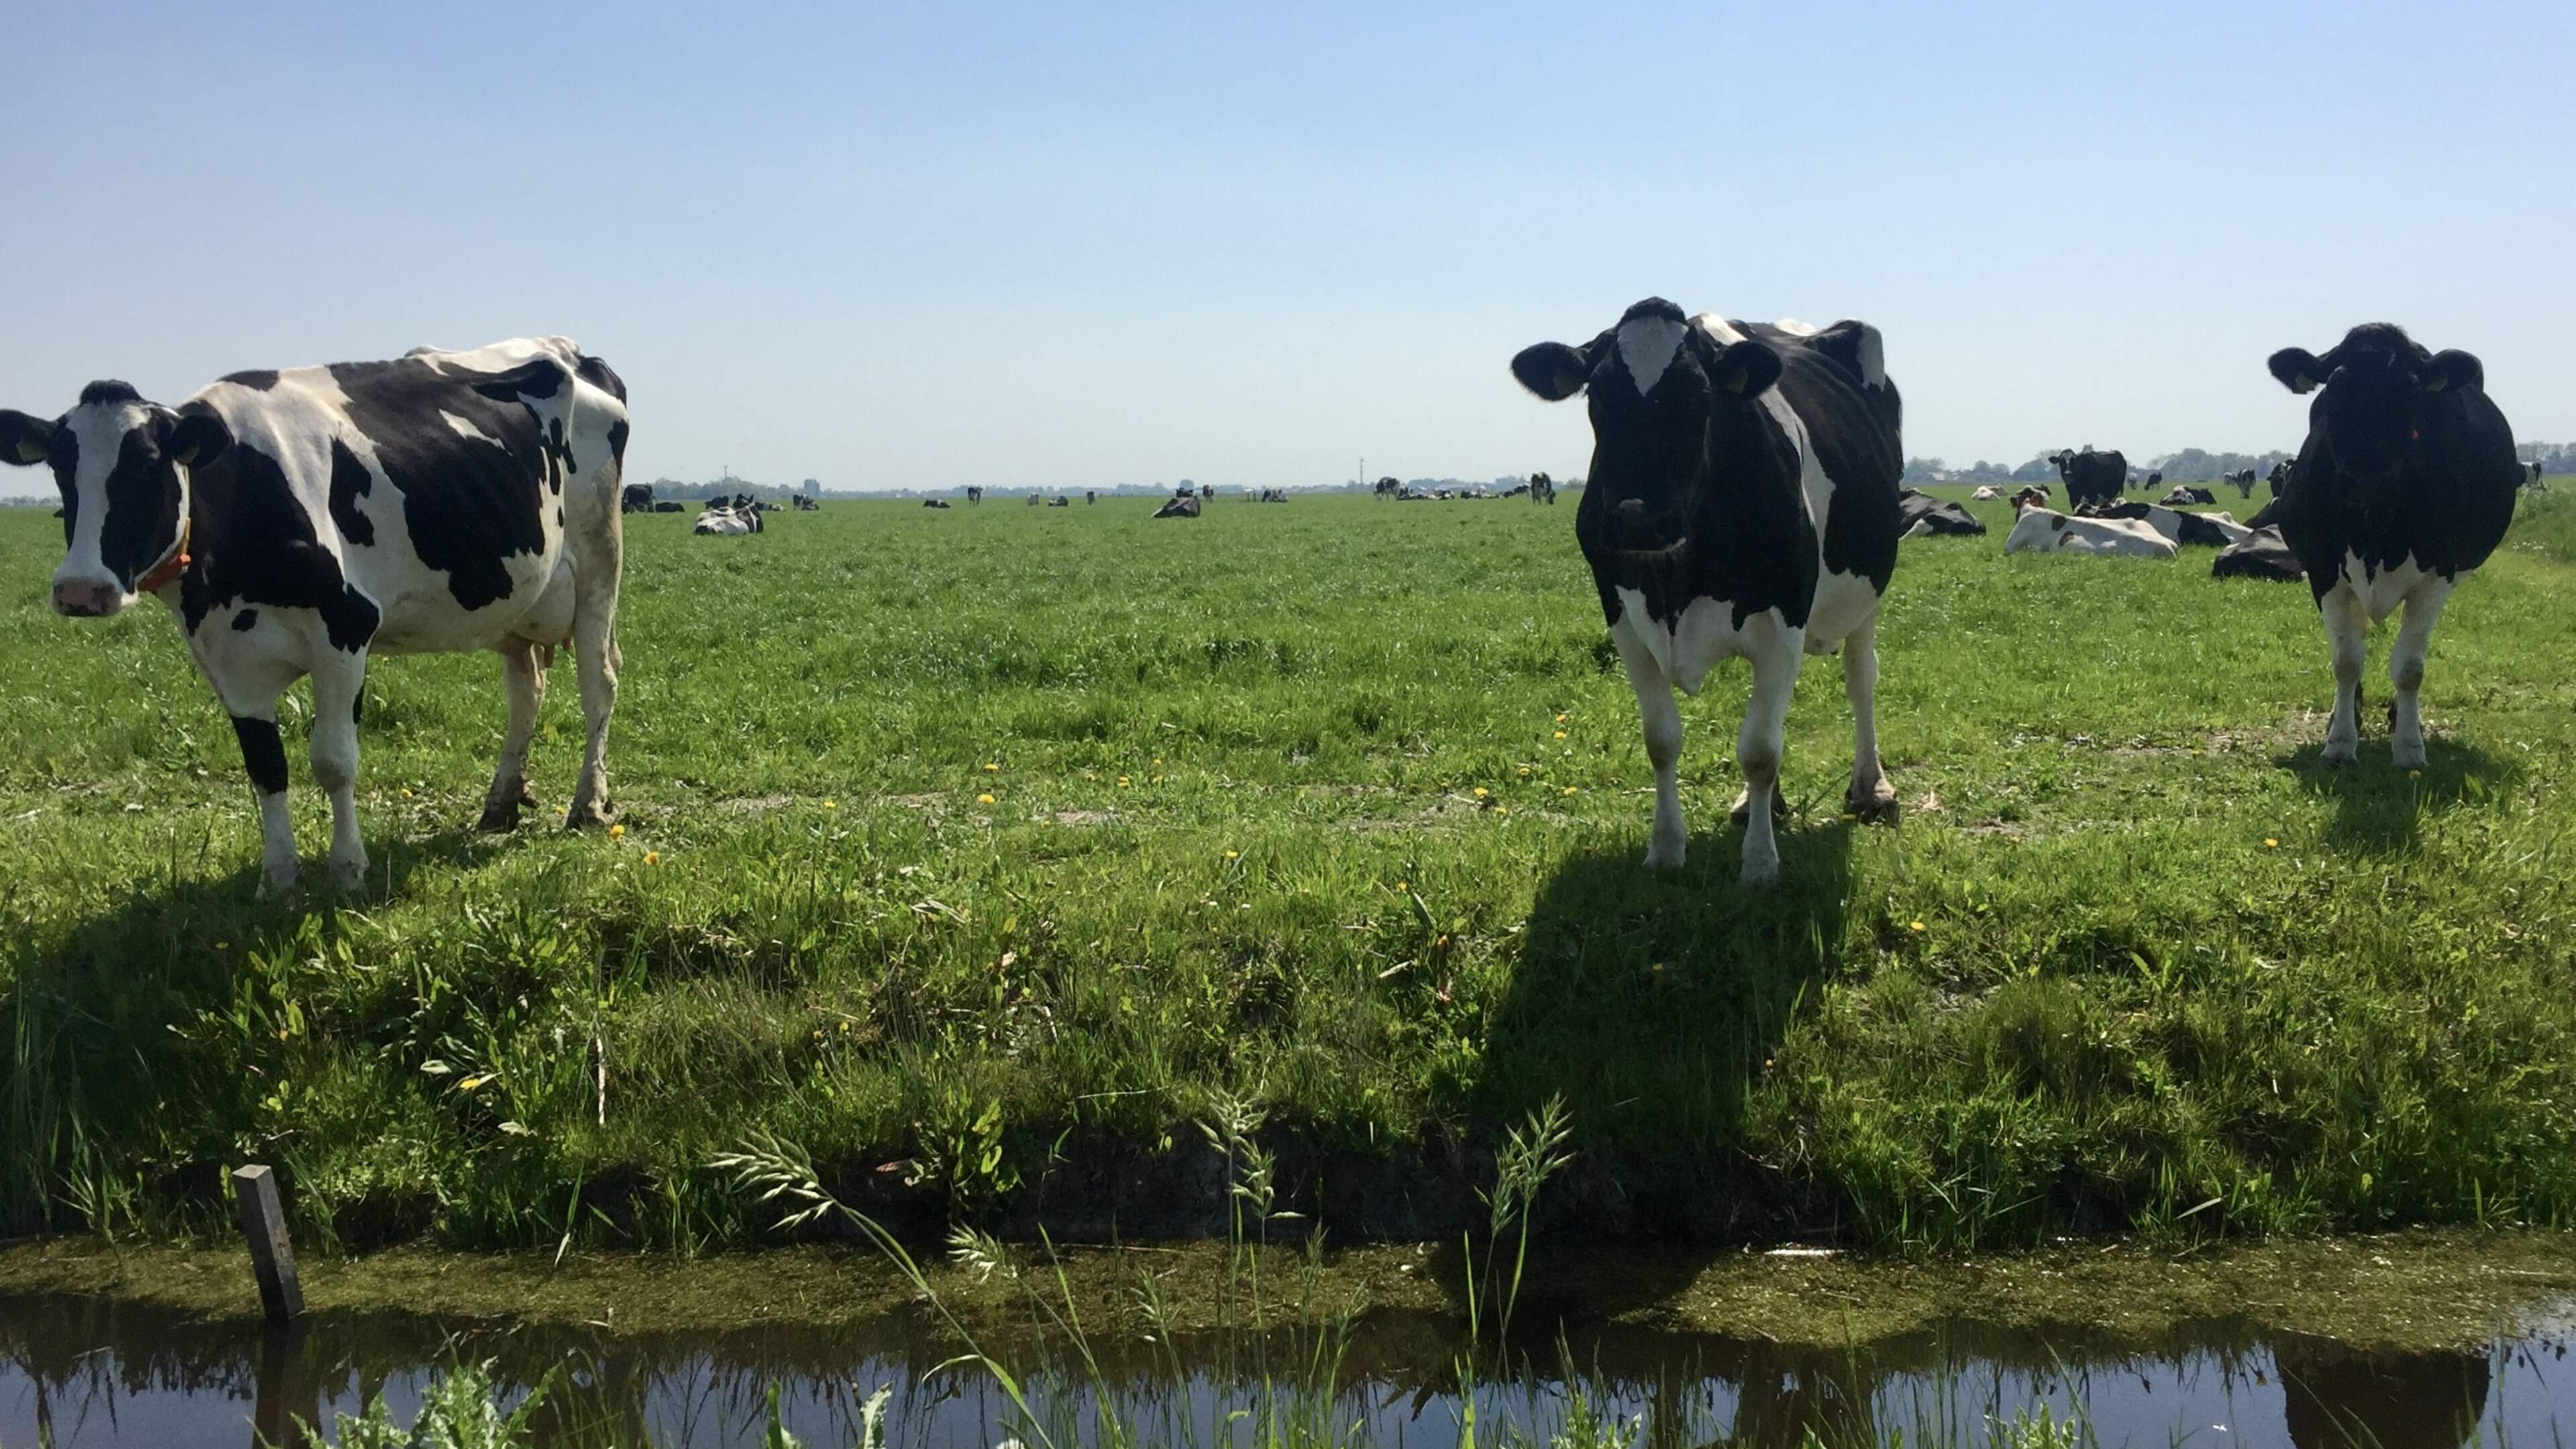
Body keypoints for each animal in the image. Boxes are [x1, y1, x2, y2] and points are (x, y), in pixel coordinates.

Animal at [2, 338, 629, 892]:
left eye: (149, 466)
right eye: (60, 468)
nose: (81, 590)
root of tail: (573, 353)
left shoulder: (346, 632)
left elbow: (334, 762)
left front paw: (347, 870)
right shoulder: (227, 659)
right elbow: (265, 769)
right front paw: (277, 880)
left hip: (600, 561)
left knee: (598, 683)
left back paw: (587, 805)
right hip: (516, 596)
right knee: (526, 689)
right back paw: (501, 804)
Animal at [1512, 299, 1902, 883]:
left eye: (1699, 396)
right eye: (1597, 395)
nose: (1639, 519)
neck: (1675, 582)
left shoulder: (1785, 620)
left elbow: (1761, 749)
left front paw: (1760, 864)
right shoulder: (1623, 620)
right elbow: (1661, 740)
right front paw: (1666, 847)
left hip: (1869, 591)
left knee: (1861, 680)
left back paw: (1870, 789)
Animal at [2266, 323, 2519, 767]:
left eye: (2411, 389)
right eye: (2335, 386)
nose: (2366, 476)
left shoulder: (2439, 574)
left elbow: (2410, 667)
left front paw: (2409, 748)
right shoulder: (2323, 569)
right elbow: (2346, 661)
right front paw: (2340, 743)